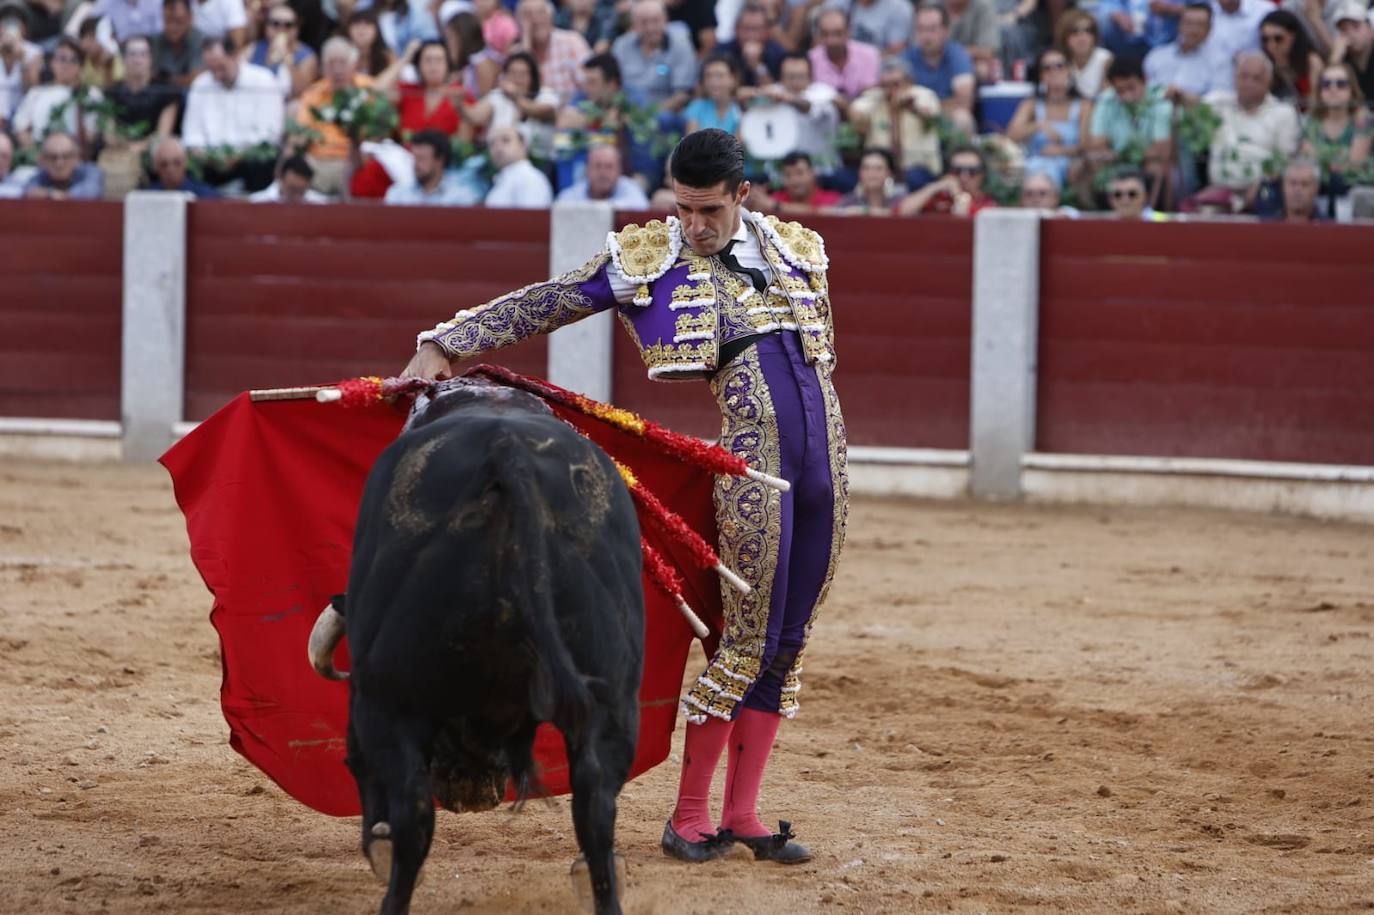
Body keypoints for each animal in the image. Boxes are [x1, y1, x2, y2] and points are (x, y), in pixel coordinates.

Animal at [314, 381, 645, 912]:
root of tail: (506, 452)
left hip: (391, 697)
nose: (470, 792)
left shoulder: (371, 700)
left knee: (413, 811)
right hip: (612, 696)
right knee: (595, 803)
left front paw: (378, 844)